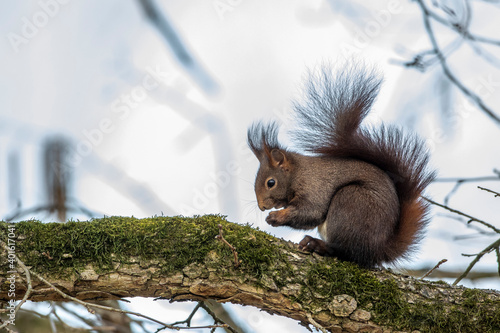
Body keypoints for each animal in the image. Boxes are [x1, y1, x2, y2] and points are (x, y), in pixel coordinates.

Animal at [248, 63, 436, 268]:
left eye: (270, 183)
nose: (261, 207)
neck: (297, 172)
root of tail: (379, 250)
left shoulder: (314, 186)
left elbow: (311, 211)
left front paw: (276, 217)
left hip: (351, 203)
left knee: (347, 252)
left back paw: (317, 244)